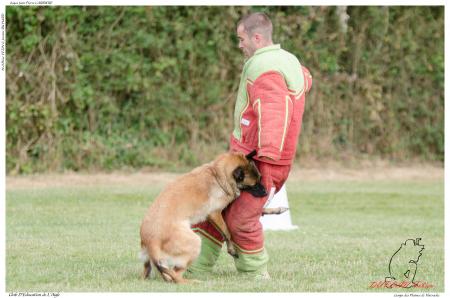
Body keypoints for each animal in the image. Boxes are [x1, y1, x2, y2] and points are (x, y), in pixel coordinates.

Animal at [141, 151, 286, 284]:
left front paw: (276, 209)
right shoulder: (215, 214)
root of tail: (151, 241)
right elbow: (227, 233)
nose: (266, 193)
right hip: (195, 242)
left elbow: (261, 210)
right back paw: (192, 282)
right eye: (253, 185)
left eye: (260, 179)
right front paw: (232, 249)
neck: (218, 174)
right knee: (176, 276)